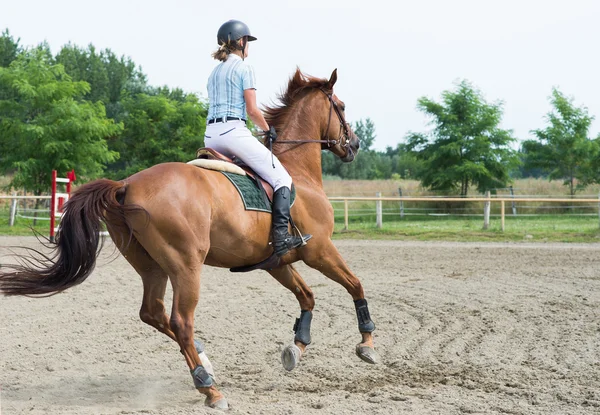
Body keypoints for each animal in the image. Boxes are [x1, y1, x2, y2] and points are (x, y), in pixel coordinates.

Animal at [0, 68, 378, 410]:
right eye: (341, 106)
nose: (354, 145)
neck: (297, 172)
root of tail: (126, 185)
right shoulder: (320, 250)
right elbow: (355, 284)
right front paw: (368, 344)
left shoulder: (277, 263)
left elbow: (307, 297)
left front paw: (296, 347)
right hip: (186, 266)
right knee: (180, 321)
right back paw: (210, 389)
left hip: (152, 266)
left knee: (153, 314)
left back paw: (206, 364)